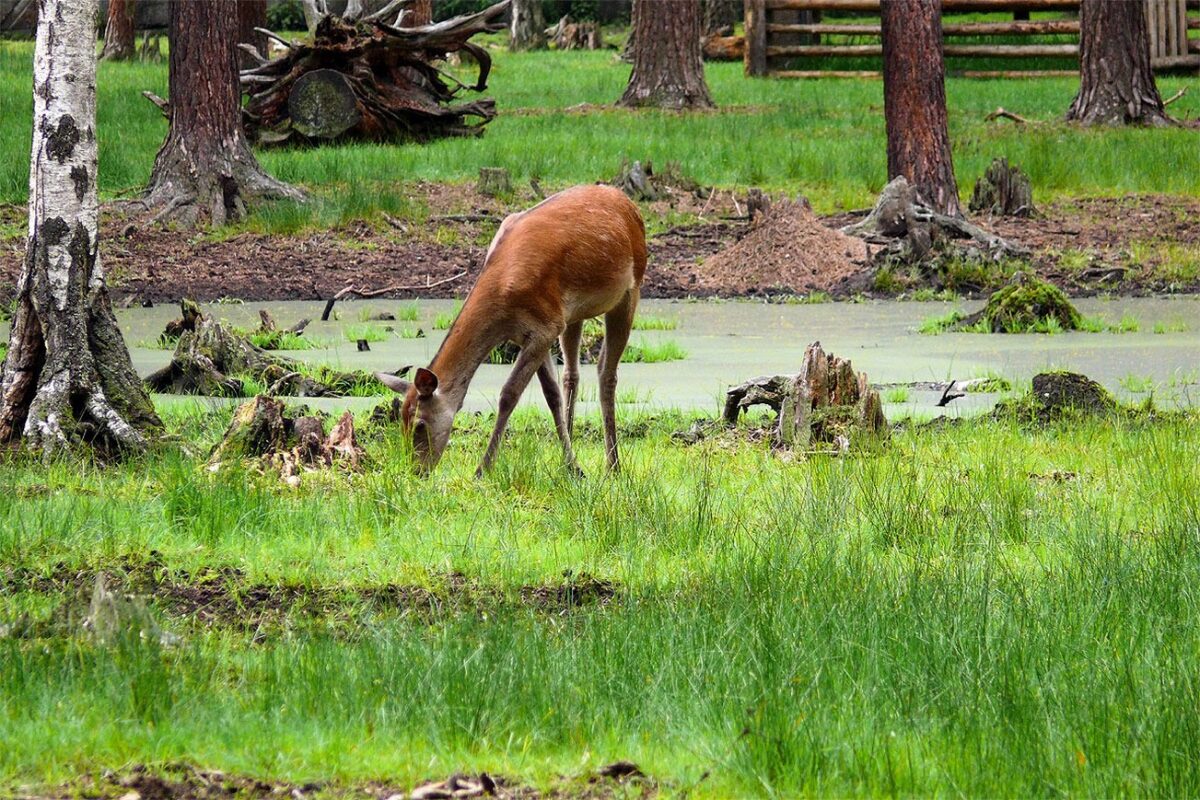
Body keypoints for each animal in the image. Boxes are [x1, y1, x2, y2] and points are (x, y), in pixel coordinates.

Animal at [379, 184, 652, 479]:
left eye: (420, 424)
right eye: (401, 421)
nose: (417, 471)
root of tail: (627, 202)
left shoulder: (545, 327)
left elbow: (509, 394)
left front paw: (483, 469)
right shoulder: (537, 331)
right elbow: (551, 394)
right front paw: (571, 466)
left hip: (630, 291)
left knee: (607, 373)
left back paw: (613, 466)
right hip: (574, 315)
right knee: (571, 374)